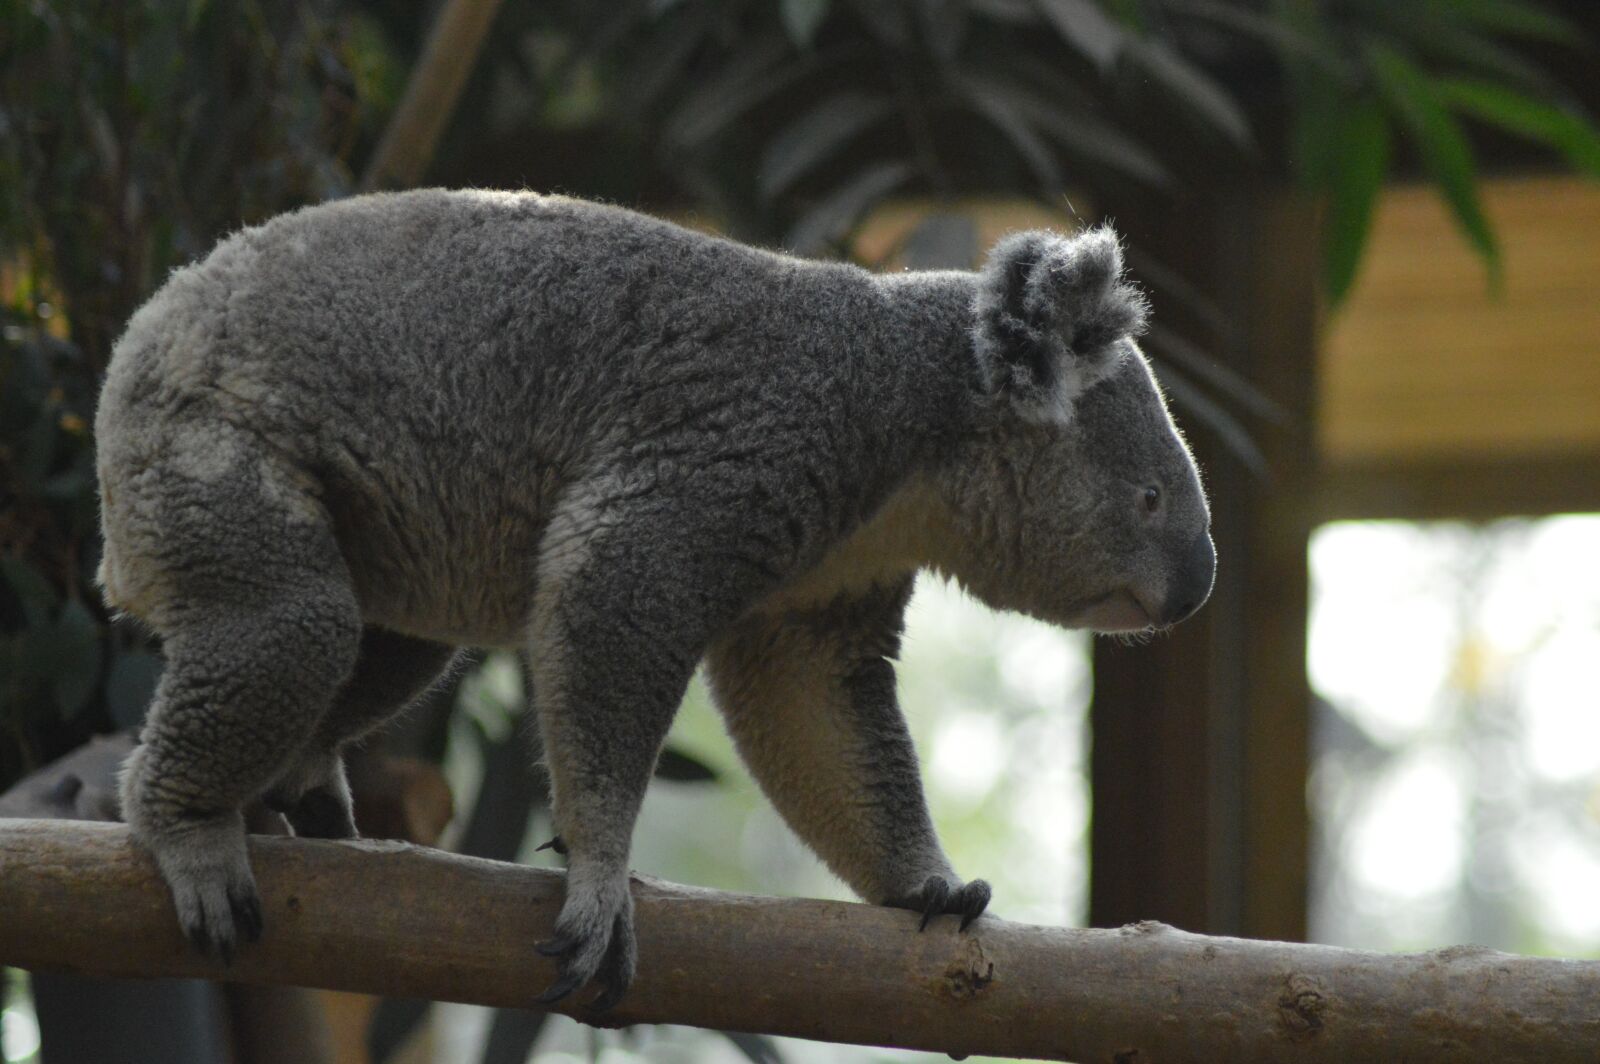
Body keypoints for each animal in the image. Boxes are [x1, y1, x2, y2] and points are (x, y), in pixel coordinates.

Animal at [95, 188, 1214, 1009]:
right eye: (1153, 496)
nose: (1194, 590)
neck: (911, 441)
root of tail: (143, 329)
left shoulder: (823, 593)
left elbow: (818, 717)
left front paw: (929, 887)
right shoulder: (724, 461)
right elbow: (608, 607)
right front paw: (599, 887)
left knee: (389, 651)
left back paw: (306, 792)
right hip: (209, 453)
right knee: (290, 629)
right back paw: (194, 831)